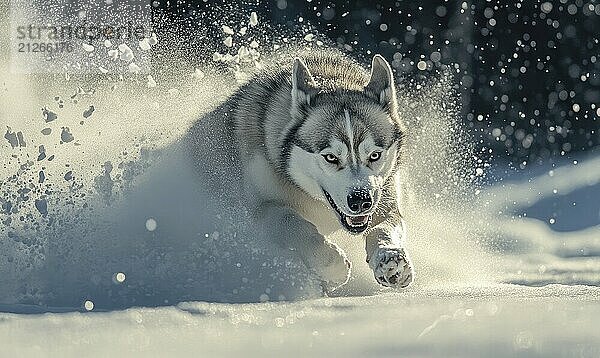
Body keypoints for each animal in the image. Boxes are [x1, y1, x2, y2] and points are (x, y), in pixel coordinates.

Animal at [188, 49, 412, 290]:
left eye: (375, 155)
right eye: (331, 157)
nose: (361, 201)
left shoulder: (385, 200)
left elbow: (383, 228)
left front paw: (391, 260)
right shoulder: (263, 206)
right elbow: (296, 226)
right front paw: (332, 266)